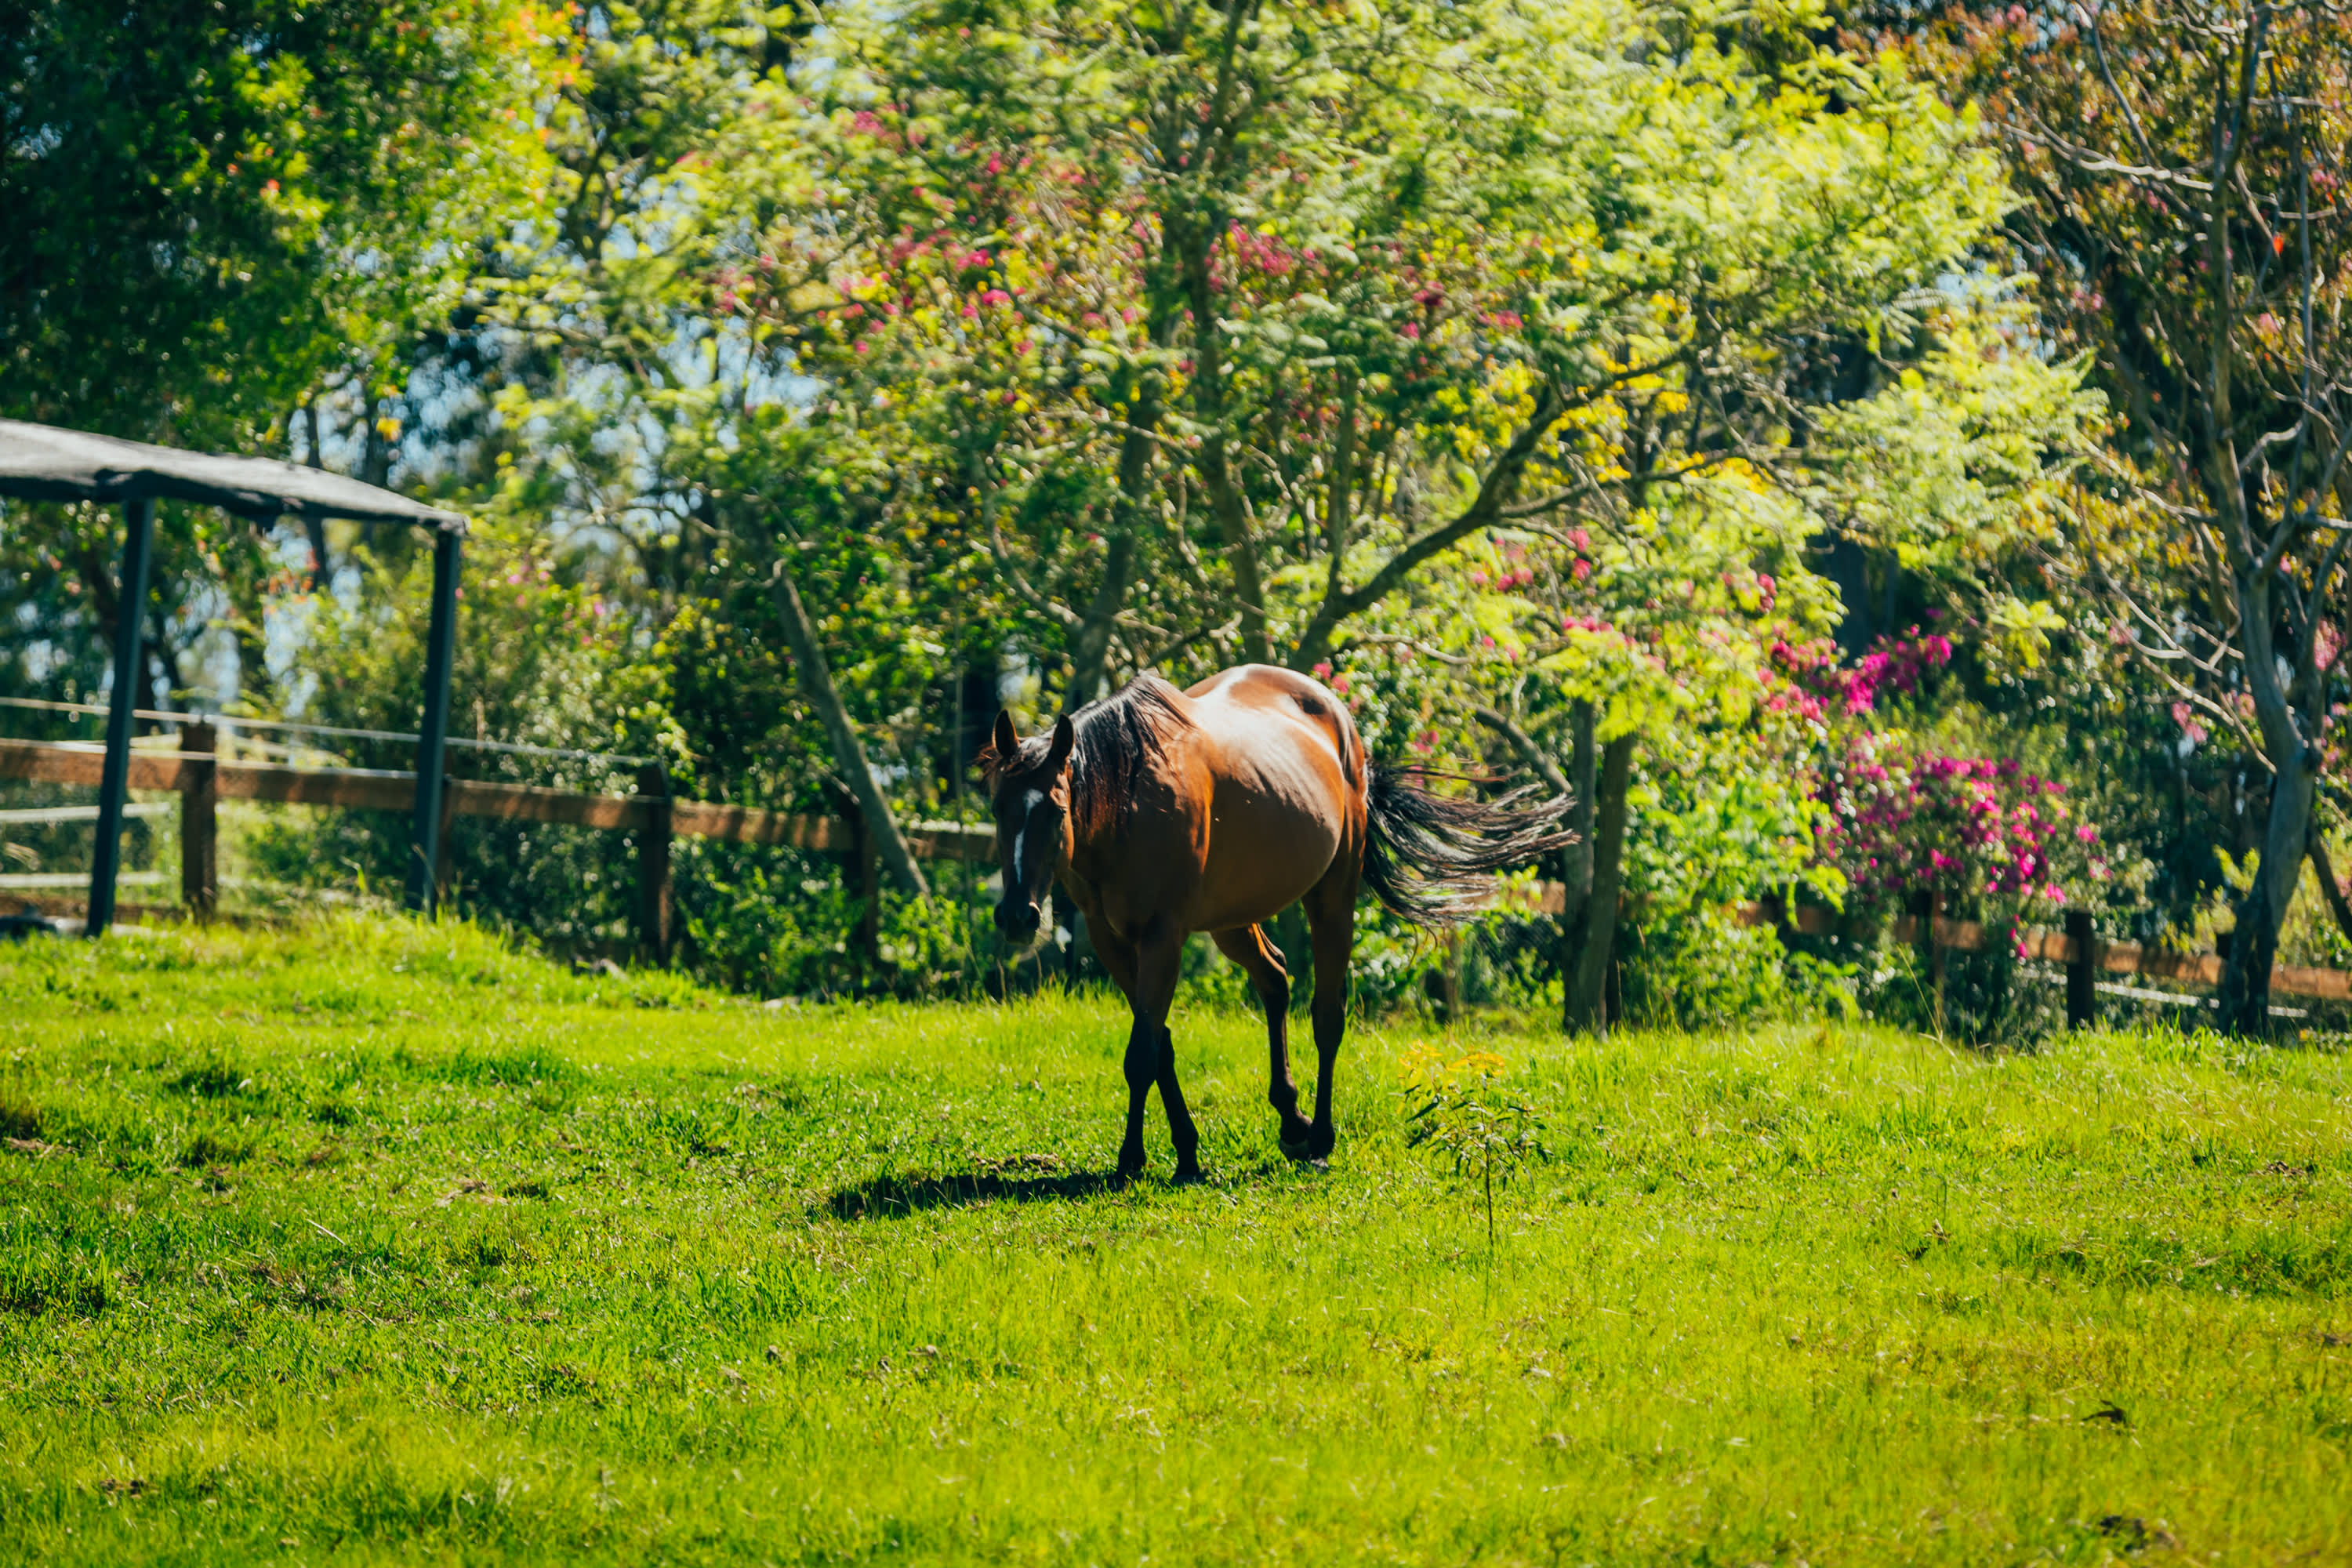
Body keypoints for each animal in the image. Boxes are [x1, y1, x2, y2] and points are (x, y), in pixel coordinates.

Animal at [979, 663, 1572, 1180]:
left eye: (1056, 811)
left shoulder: (1163, 937)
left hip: (1332, 896)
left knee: (1327, 1015)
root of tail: (1337, 717)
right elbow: (1160, 1045)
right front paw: (1186, 1153)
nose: (1016, 916)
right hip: (1232, 920)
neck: (1128, 804)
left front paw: (1132, 1161)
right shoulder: (1112, 941)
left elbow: (1142, 1053)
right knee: (1275, 978)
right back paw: (1292, 1121)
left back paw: (1321, 1137)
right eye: (997, 808)